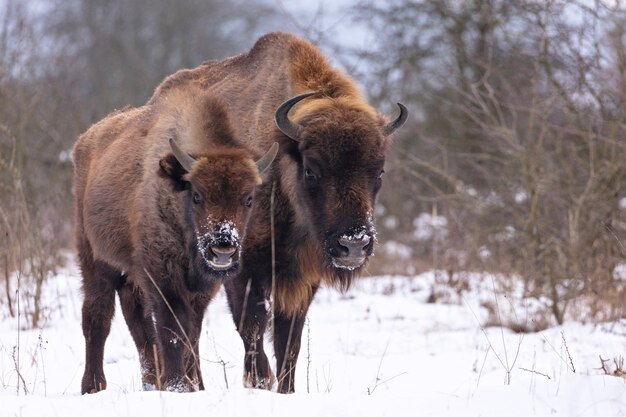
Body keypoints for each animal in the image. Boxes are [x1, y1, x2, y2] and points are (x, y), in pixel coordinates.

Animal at [72, 85, 276, 394]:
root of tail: (85, 140)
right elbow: (172, 329)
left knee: (138, 322)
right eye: (197, 195)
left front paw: (194, 385)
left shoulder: (201, 286)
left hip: (131, 275)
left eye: (249, 198)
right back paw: (93, 386)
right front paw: (177, 385)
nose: (223, 249)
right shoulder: (163, 275)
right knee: (97, 317)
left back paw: (150, 380)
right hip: (95, 259)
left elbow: (191, 331)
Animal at [149, 30, 408, 392]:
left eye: (379, 172)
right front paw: (259, 380)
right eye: (312, 170)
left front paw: (286, 389)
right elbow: (252, 327)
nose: (354, 245)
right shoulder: (243, 270)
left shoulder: (302, 278)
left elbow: (289, 340)